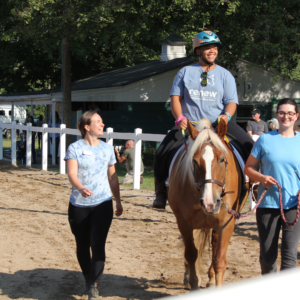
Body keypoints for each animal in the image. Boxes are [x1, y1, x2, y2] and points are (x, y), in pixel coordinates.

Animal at [169, 118, 248, 290]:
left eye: (222, 159)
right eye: (194, 161)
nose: (209, 203)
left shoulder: (226, 224)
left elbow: (219, 260)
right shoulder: (184, 223)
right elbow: (191, 254)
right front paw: (193, 282)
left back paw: (211, 280)